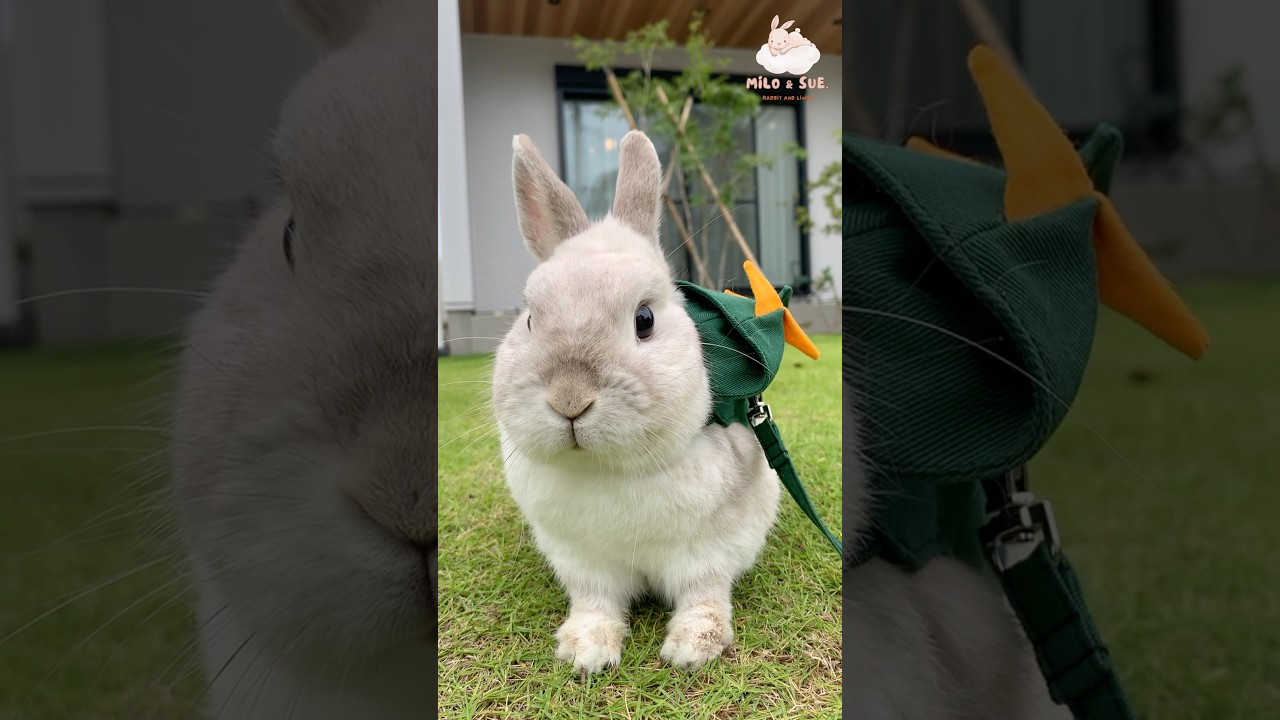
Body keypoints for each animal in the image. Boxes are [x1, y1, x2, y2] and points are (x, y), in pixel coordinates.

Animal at [491, 129, 782, 676]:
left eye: (644, 319)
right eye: (531, 320)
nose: (570, 400)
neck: (608, 470)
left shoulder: (711, 550)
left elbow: (704, 594)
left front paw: (694, 648)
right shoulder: (583, 562)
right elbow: (595, 603)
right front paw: (585, 651)